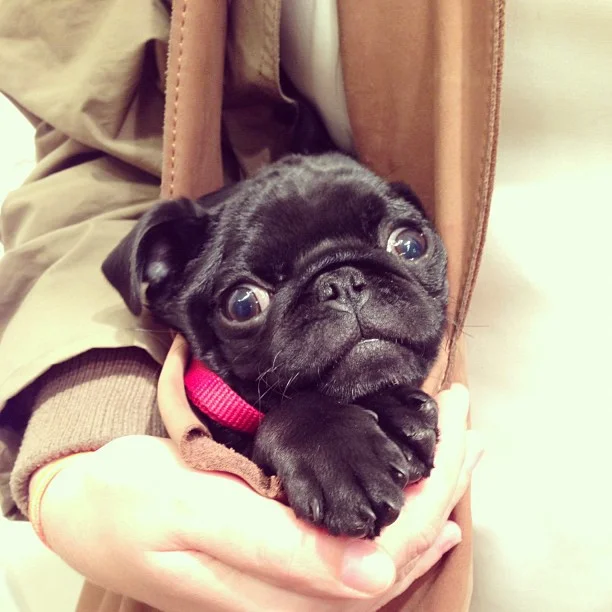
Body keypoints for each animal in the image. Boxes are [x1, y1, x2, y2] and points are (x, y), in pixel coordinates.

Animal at [102, 152, 448, 538]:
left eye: (410, 245)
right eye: (242, 304)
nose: (341, 281)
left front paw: (396, 414)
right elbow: (293, 408)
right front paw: (336, 450)